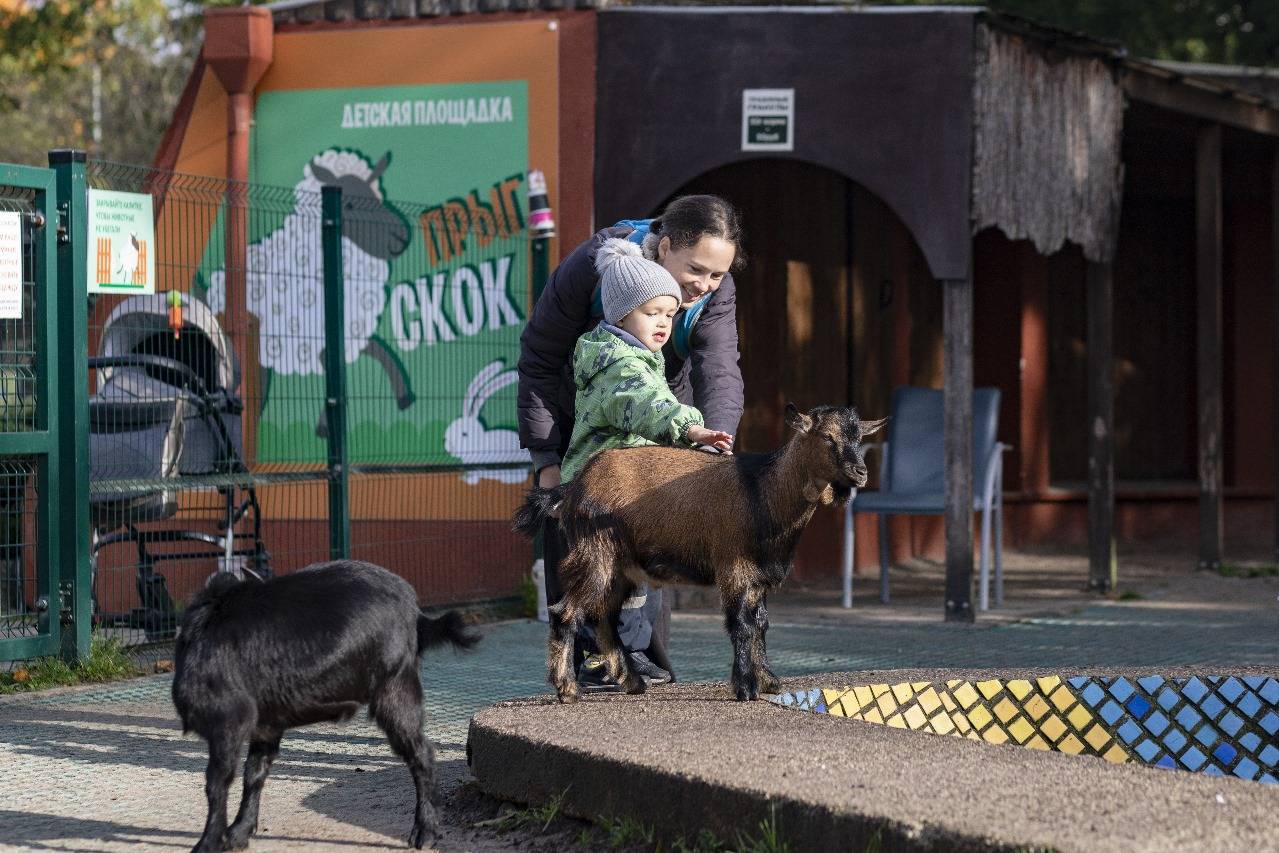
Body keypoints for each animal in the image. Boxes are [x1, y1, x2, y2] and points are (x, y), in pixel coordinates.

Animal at [172, 560, 478, 853]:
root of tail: (415, 610)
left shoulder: (228, 720)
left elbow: (218, 781)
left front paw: (209, 843)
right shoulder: (266, 725)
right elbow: (254, 773)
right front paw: (238, 833)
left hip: (394, 687)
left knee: (421, 753)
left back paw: (425, 832)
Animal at [514, 404, 885, 705]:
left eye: (857, 437)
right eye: (827, 438)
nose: (860, 473)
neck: (764, 492)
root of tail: (573, 487)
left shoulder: (760, 574)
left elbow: (761, 622)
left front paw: (768, 680)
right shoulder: (734, 566)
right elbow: (741, 623)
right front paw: (746, 688)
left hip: (620, 567)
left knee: (604, 618)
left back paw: (632, 682)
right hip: (596, 555)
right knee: (566, 612)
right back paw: (567, 689)